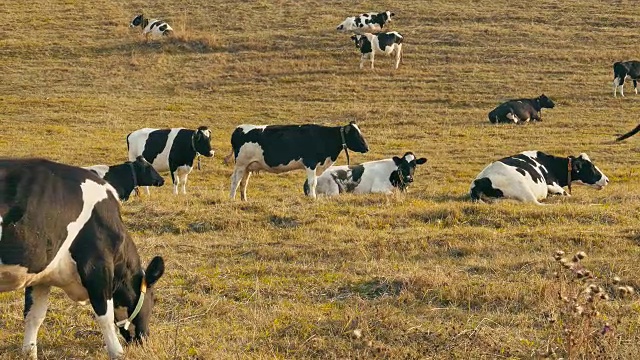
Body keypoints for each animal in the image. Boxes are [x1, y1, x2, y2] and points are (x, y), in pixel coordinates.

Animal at [0, 158, 168, 360]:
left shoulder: (41, 276)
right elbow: (105, 316)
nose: (144, 339)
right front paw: (117, 352)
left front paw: (30, 353)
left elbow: (34, 316)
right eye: (153, 298)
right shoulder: (98, 267)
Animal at [226, 121, 370, 200]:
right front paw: (313, 198)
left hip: (248, 166)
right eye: (355, 134)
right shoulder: (310, 163)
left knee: (243, 182)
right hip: (241, 164)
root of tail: (238, 128)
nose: (367, 148)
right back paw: (232, 199)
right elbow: (312, 182)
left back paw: (244, 200)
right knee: (235, 181)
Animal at [470, 150, 608, 205]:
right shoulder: (553, 185)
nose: (607, 179)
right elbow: (568, 195)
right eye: (591, 166)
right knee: (535, 203)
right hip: (523, 187)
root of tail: (480, 180)